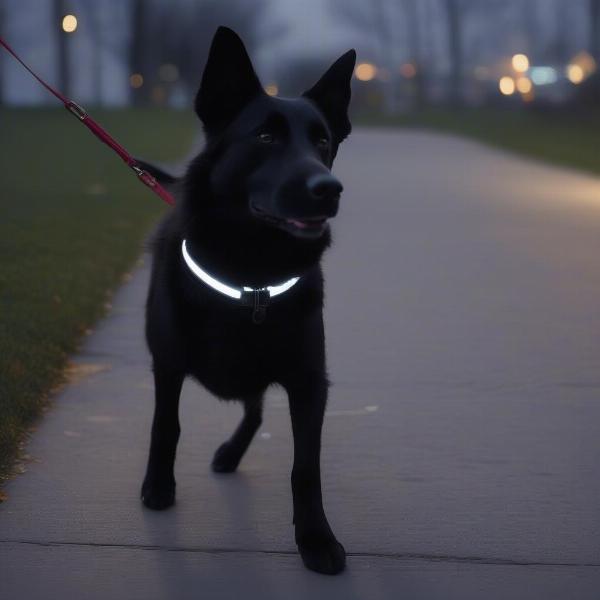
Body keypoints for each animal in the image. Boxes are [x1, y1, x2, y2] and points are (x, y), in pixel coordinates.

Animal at [139, 25, 356, 576]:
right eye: (265, 137)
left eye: (322, 141)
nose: (329, 188)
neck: (251, 275)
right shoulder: (167, 363)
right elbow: (166, 425)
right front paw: (158, 487)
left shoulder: (309, 381)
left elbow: (305, 468)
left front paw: (316, 540)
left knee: (255, 408)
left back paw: (232, 453)